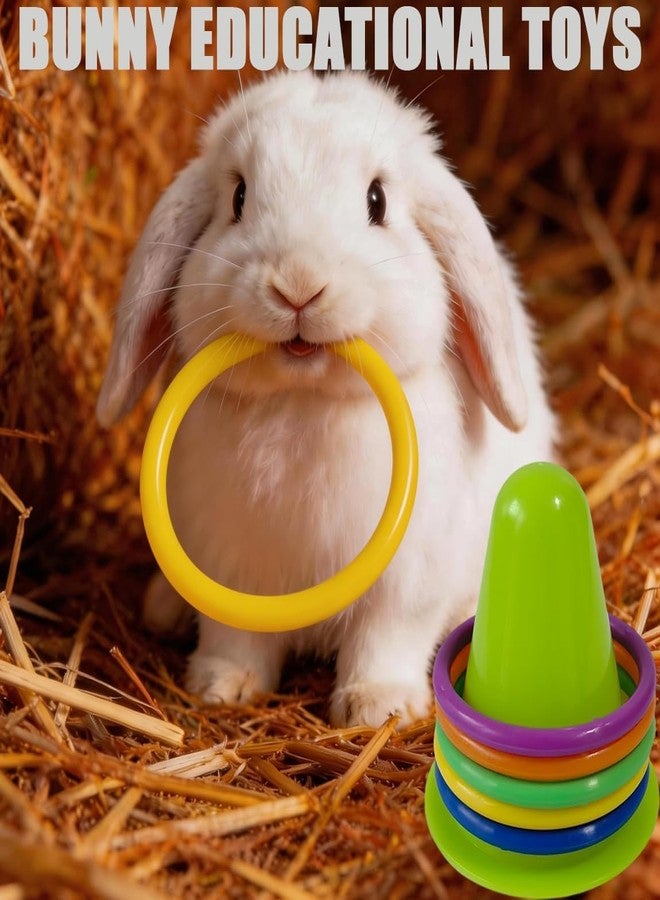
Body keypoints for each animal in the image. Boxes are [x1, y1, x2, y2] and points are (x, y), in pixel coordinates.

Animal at [97, 70, 556, 727]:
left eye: (377, 201)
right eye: (238, 198)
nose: (298, 283)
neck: (303, 402)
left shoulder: (406, 586)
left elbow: (386, 641)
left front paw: (378, 709)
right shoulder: (232, 568)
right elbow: (235, 637)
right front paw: (222, 687)